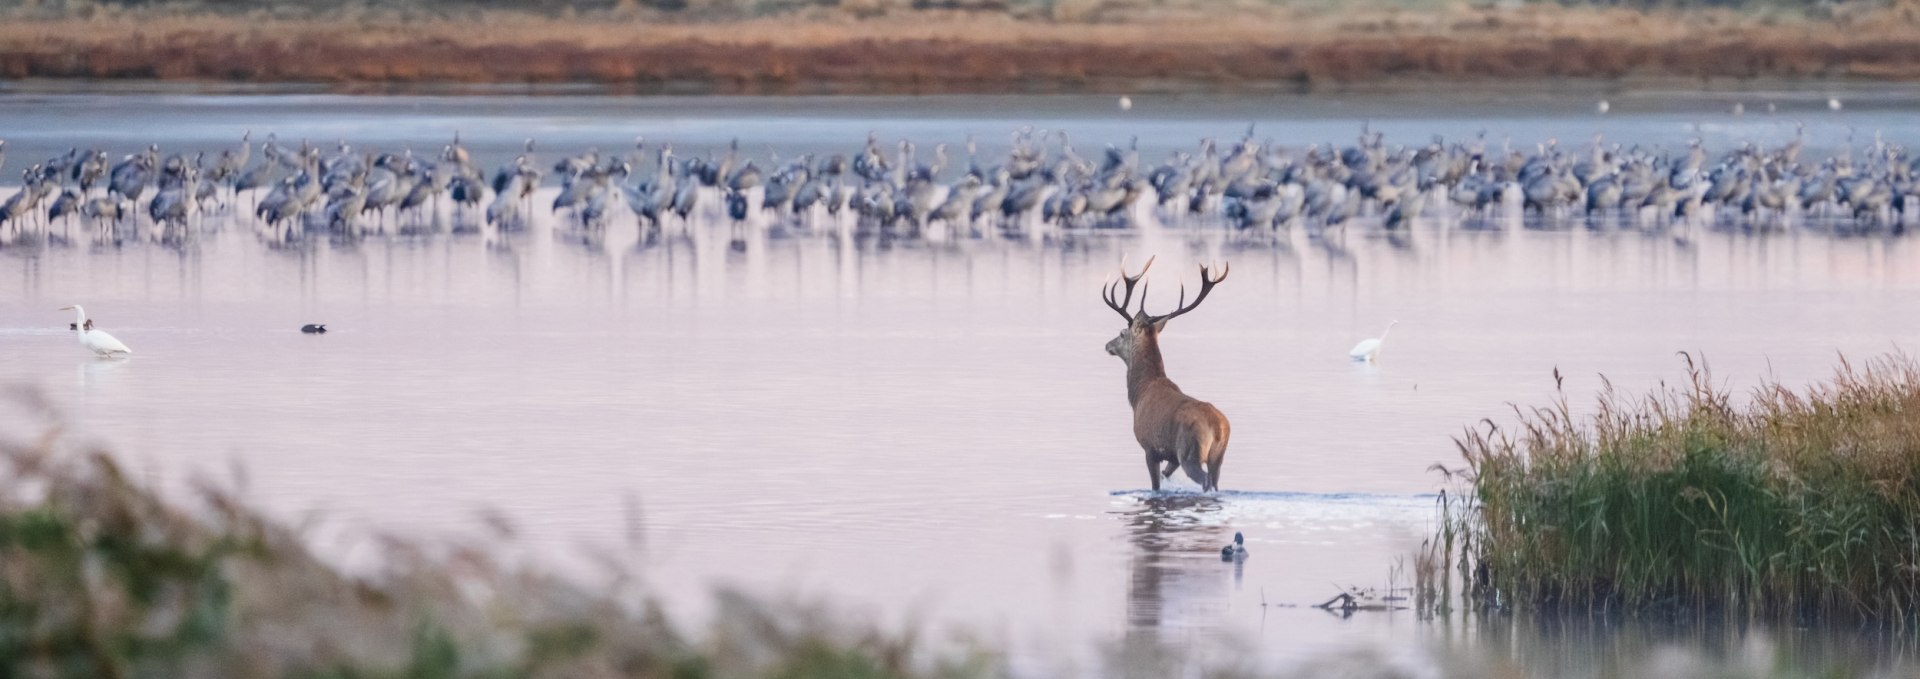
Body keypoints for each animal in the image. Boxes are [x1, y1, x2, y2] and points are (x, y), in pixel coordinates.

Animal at [1102, 256, 1232, 492]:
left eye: (1122, 333)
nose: (1107, 345)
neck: (1140, 392)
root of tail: (1219, 427)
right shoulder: (1171, 457)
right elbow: (1165, 475)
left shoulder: (1150, 448)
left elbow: (1156, 485)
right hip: (1218, 456)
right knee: (1215, 481)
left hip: (1190, 451)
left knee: (1204, 479)